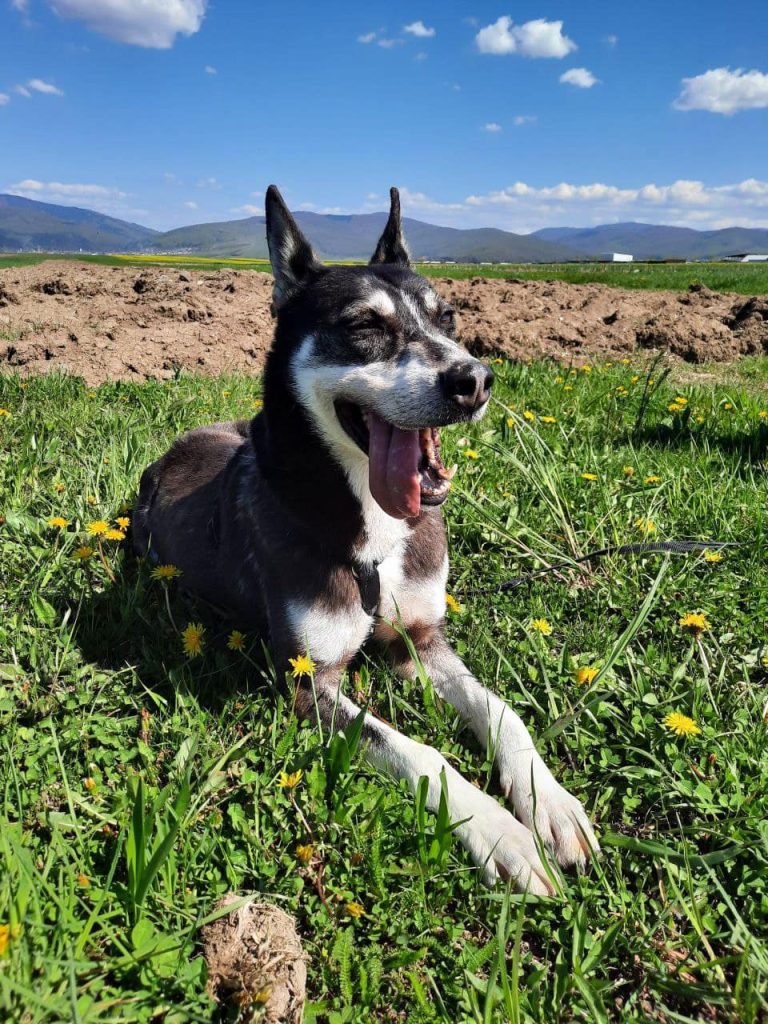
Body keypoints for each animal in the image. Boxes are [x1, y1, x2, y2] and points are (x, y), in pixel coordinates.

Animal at [134, 188, 602, 892]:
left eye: (449, 317)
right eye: (364, 327)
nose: (474, 380)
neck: (374, 531)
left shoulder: (421, 641)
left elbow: (500, 711)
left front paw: (548, 802)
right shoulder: (307, 682)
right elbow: (421, 752)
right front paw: (502, 834)